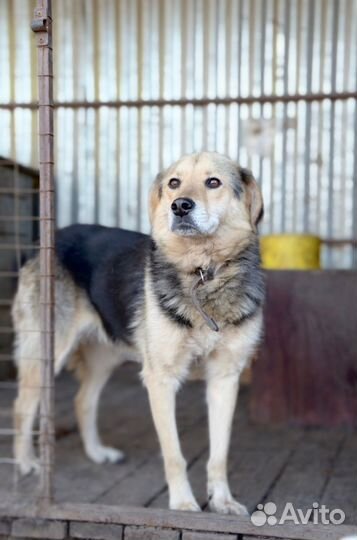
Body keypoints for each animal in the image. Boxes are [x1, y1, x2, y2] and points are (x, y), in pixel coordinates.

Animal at [12, 151, 262, 516]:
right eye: (174, 183)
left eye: (213, 182)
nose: (179, 206)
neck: (203, 272)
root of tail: (45, 241)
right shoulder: (161, 380)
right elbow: (174, 454)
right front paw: (183, 504)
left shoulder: (225, 378)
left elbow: (219, 454)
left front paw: (222, 500)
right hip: (47, 351)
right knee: (22, 406)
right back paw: (26, 462)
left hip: (104, 356)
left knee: (83, 400)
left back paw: (97, 453)